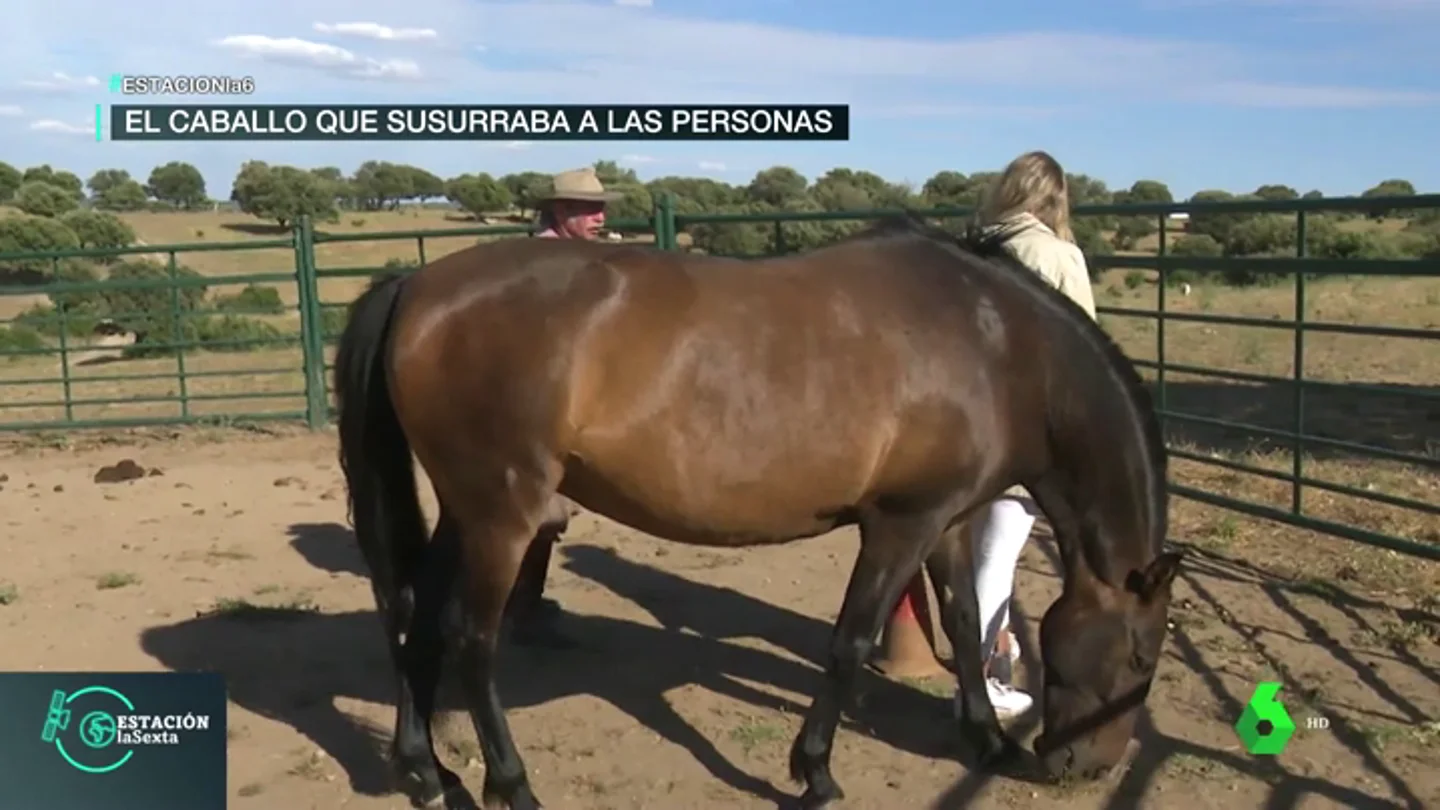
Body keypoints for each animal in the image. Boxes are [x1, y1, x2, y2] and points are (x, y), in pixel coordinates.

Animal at [333, 213, 1183, 810]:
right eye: (1141, 658)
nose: (1086, 766)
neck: (999, 346)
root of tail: (416, 285)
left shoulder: (945, 518)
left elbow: (968, 622)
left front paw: (987, 738)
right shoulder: (899, 524)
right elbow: (850, 642)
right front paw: (815, 773)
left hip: (465, 512)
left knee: (415, 614)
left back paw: (425, 770)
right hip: (502, 513)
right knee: (472, 640)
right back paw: (511, 783)